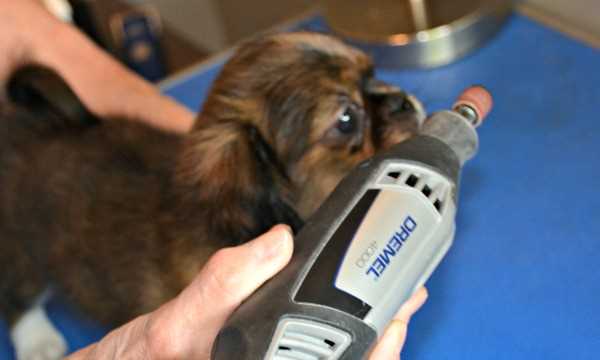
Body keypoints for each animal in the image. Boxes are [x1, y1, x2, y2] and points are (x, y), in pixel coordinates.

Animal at [0, 32, 424, 358]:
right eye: (346, 119)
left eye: (373, 76)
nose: (403, 99)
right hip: (19, 247)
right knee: (19, 295)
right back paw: (37, 340)